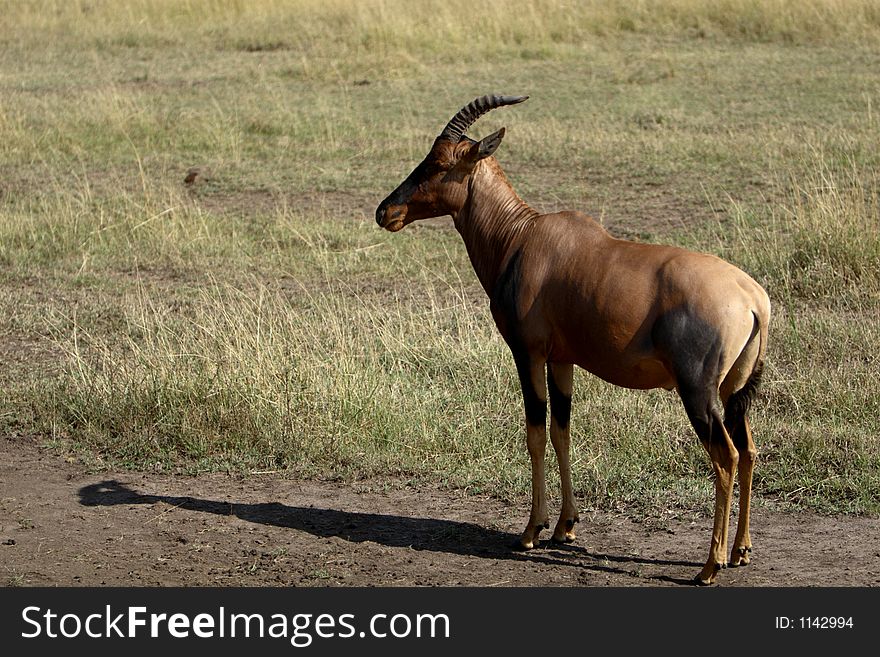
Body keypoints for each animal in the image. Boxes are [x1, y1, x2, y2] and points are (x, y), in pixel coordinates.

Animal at [374, 93, 768, 584]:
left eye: (438, 162)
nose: (385, 212)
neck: (523, 236)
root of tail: (752, 298)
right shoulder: (562, 359)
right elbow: (562, 432)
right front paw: (566, 527)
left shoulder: (527, 353)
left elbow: (535, 433)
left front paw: (530, 531)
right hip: (733, 392)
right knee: (749, 451)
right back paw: (741, 551)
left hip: (699, 392)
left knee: (725, 458)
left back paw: (710, 565)